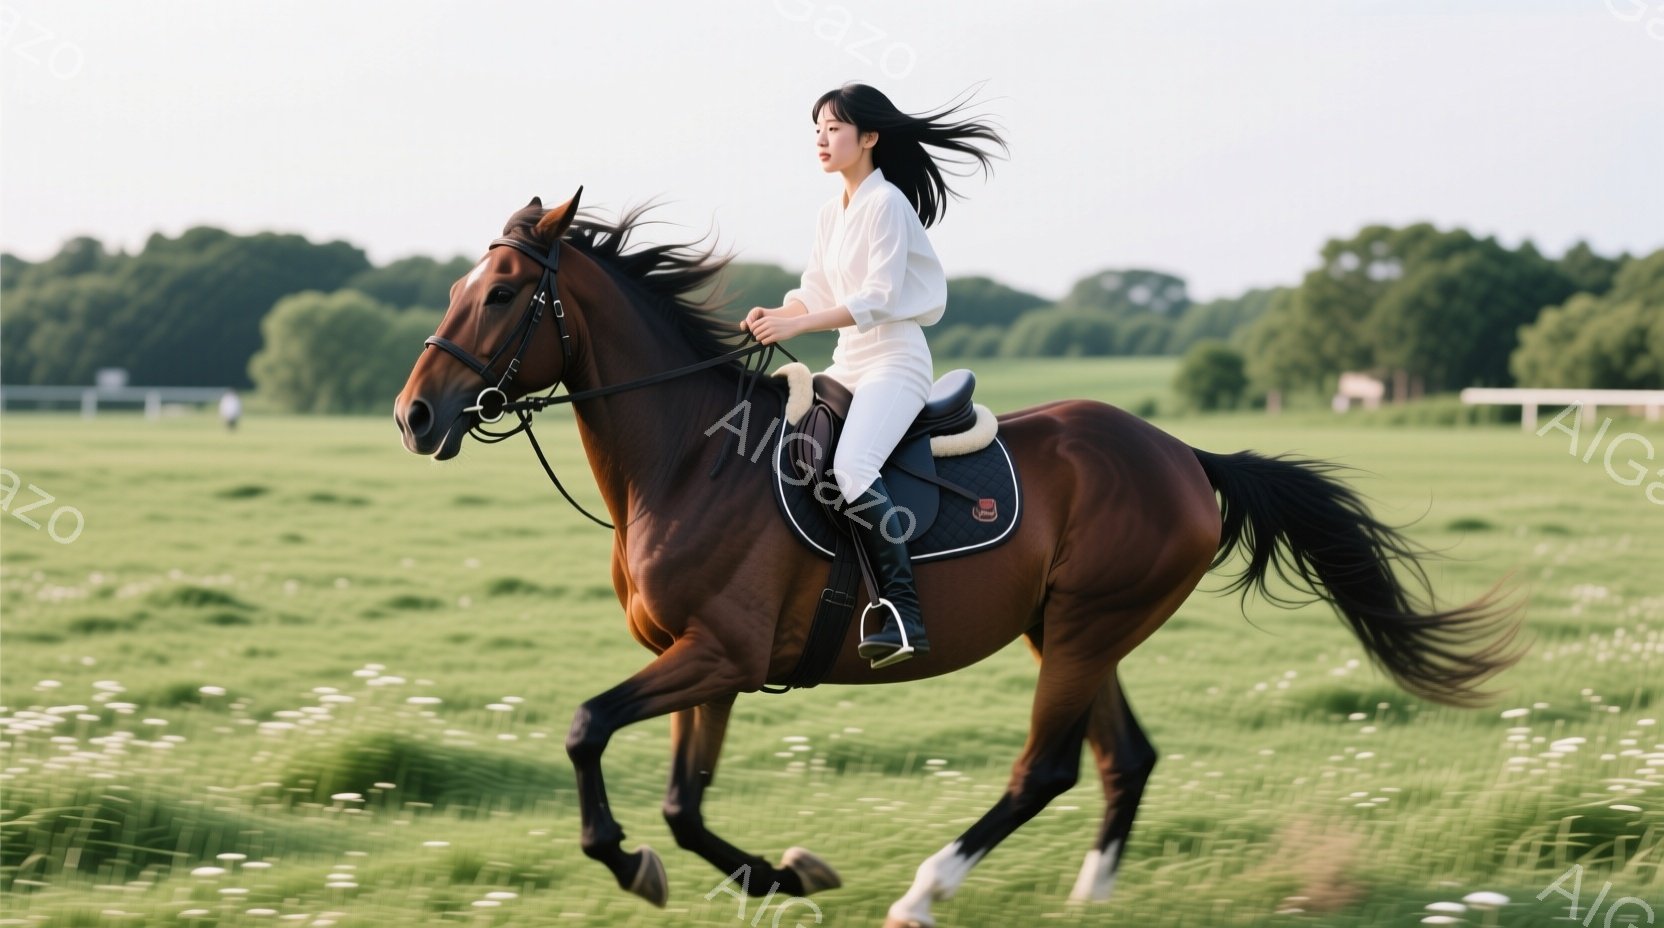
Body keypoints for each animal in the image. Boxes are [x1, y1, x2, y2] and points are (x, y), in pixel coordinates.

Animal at [394, 190, 1523, 928]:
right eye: (461, 285)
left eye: (502, 294)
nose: (414, 417)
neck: (688, 458)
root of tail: (1180, 452)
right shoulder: (706, 661)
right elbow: (683, 803)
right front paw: (779, 873)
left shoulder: (719, 654)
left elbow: (588, 729)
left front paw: (638, 864)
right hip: (1070, 632)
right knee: (1123, 757)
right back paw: (1090, 897)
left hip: (1083, 630)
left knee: (1046, 767)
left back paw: (927, 890)